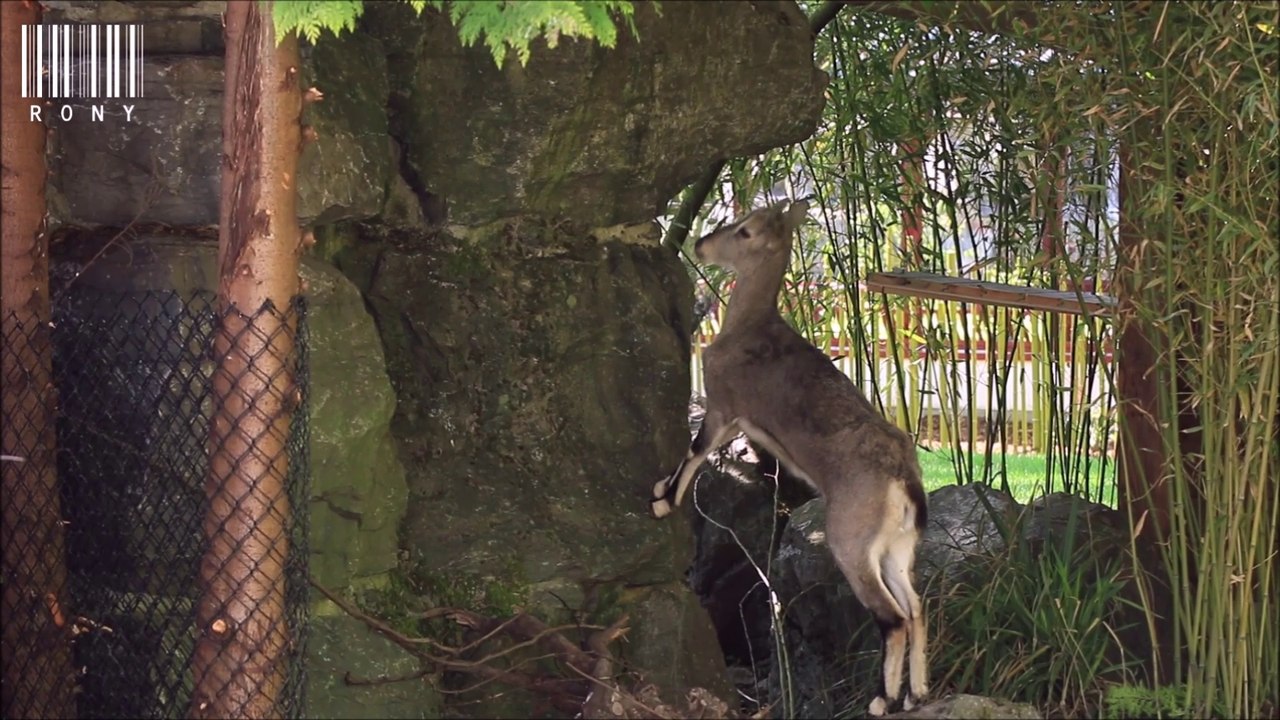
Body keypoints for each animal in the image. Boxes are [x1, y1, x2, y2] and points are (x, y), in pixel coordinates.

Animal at [650, 199, 929, 716]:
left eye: (745, 230)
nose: (700, 243)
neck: (744, 327)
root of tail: (906, 485)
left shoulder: (725, 404)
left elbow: (697, 448)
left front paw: (661, 499)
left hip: (851, 539)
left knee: (893, 615)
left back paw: (881, 700)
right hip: (898, 548)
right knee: (917, 606)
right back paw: (915, 693)